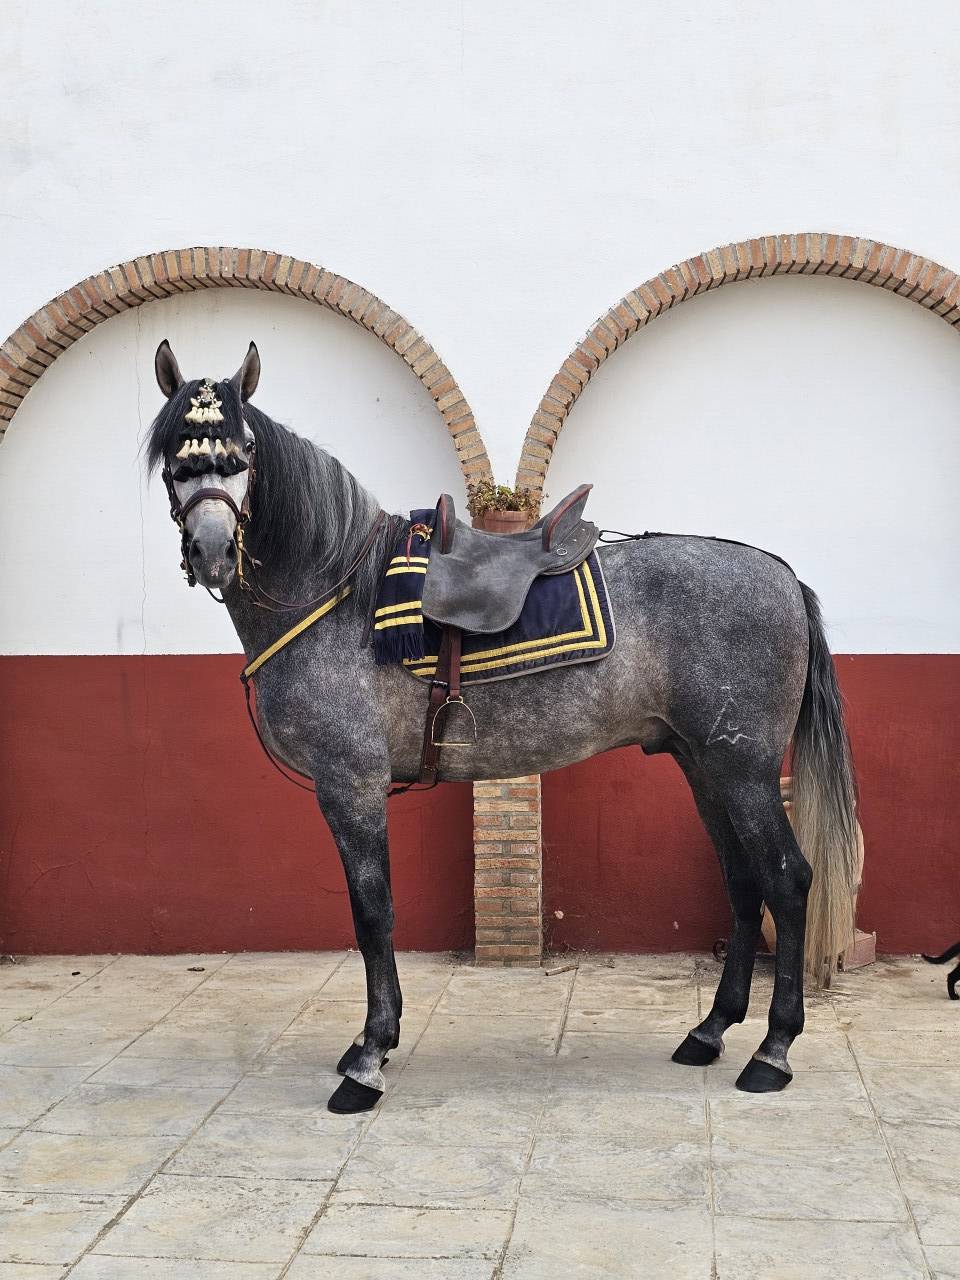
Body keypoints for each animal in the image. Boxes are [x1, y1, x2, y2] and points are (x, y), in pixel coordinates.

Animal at [146, 339, 860, 1114]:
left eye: (242, 450)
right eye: (176, 458)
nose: (213, 552)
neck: (341, 597)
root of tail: (782, 576)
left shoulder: (350, 785)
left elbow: (373, 913)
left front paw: (369, 1057)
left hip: (744, 769)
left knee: (786, 879)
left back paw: (773, 1049)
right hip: (705, 765)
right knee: (741, 880)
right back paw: (710, 1030)